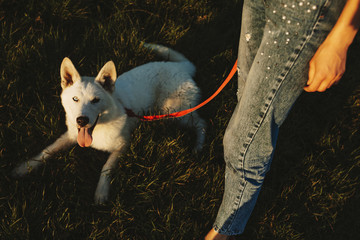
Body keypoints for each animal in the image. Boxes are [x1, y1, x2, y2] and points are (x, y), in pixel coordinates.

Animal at [12, 43, 205, 204]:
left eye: (95, 100)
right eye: (75, 99)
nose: (81, 120)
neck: (98, 130)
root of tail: (180, 66)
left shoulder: (123, 145)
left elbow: (106, 168)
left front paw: (101, 193)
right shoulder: (71, 135)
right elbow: (47, 151)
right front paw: (25, 167)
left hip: (173, 112)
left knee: (202, 123)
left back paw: (199, 146)